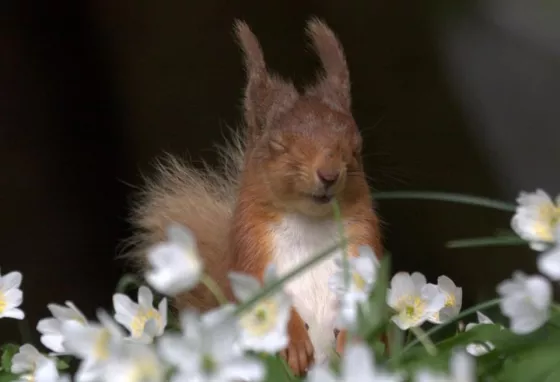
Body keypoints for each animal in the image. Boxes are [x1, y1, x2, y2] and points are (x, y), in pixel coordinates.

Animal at [129, 17, 382, 376]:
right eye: (277, 145)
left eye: (356, 146)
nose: (329, 174)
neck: (309, 222)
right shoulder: (250, 243)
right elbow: (261, 295)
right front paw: (292, 343)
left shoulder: (363, 238)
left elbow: (371, 294)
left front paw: (357, 335)